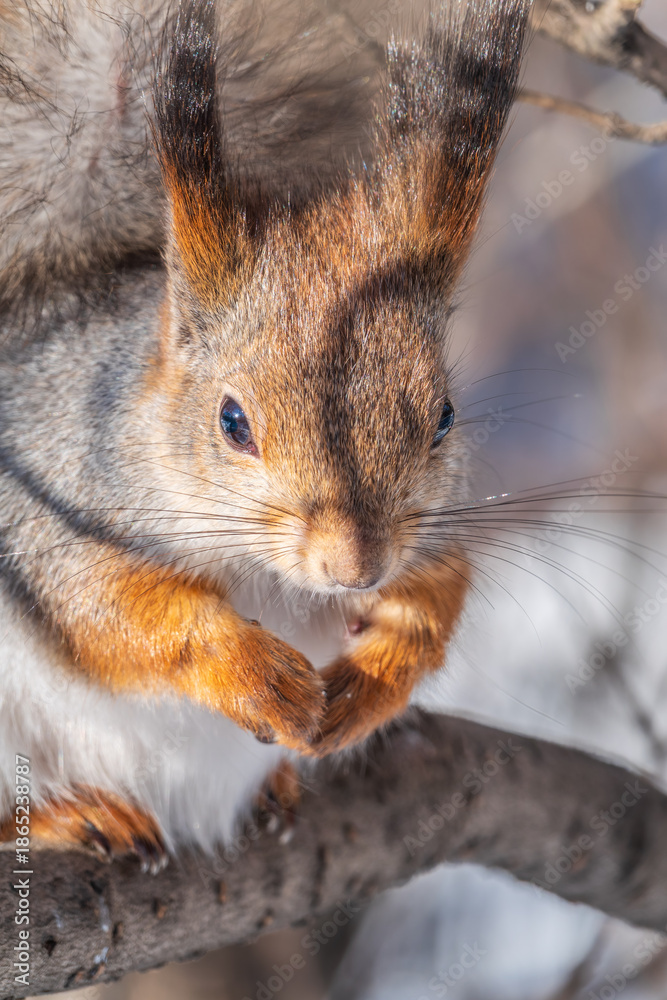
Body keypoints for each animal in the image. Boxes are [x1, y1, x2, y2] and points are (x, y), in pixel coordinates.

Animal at [0, 0, 530, 863]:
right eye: (232, 422)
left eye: (444, 416)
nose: (355, 568)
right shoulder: (46, 508)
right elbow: (107, 606)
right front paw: (251, 672)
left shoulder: (429, 534)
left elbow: (438, 595)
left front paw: (376, 673)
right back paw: (67, 814)